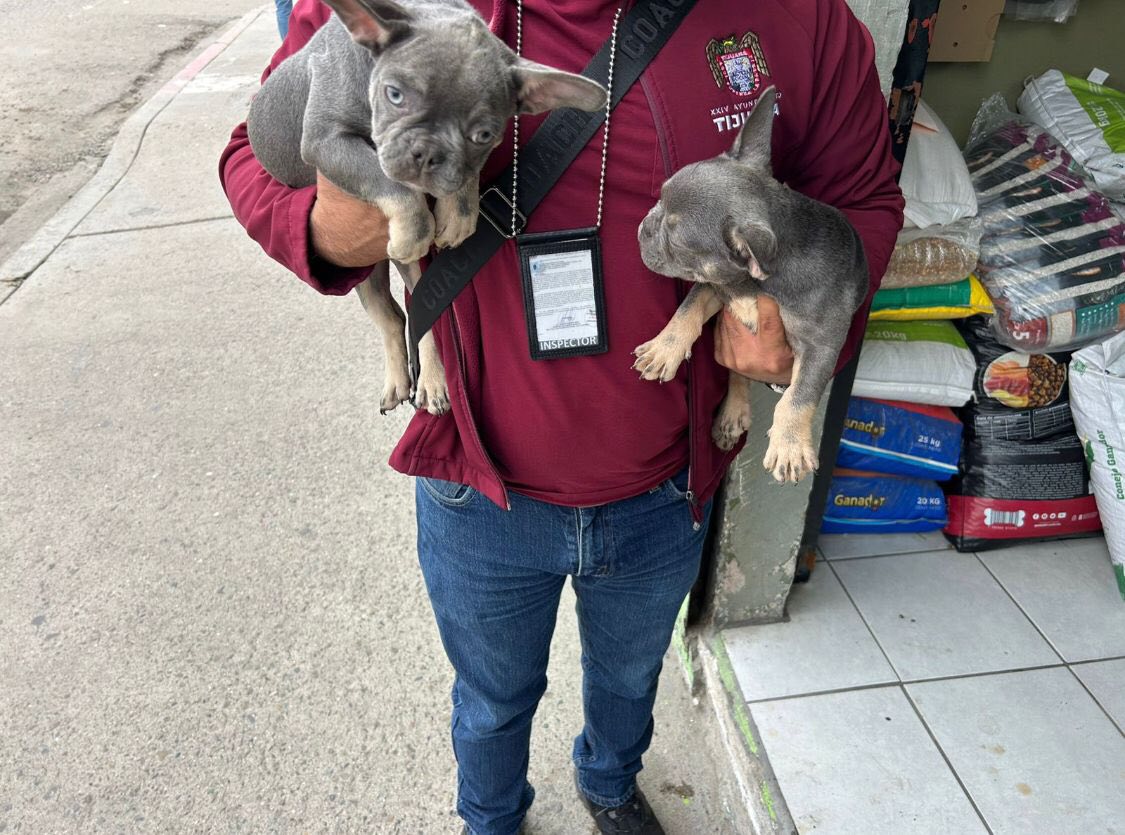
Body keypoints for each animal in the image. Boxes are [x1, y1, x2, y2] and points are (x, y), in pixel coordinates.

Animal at [247, 0, 606, 415]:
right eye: (395, 95)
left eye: (483, 134)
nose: (428, 153)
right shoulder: (326, 140)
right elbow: (385, 179)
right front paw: (416, 224)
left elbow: (465, 170)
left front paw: (460, 212)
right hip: (360, 270)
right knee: (393, 318)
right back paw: (397, 382)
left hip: (413, 275)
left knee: (422, 318)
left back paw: (432, 382)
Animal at [634, 87, 869, 483]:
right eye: (660, 198)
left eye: (677, 240)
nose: (643, 228)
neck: (752, 285)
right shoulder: (715, 285)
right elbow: (687, 309)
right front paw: (664, 348)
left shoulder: (822, 346)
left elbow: (800, 394)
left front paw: (789, 444)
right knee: (737, 373)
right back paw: (732, 411)